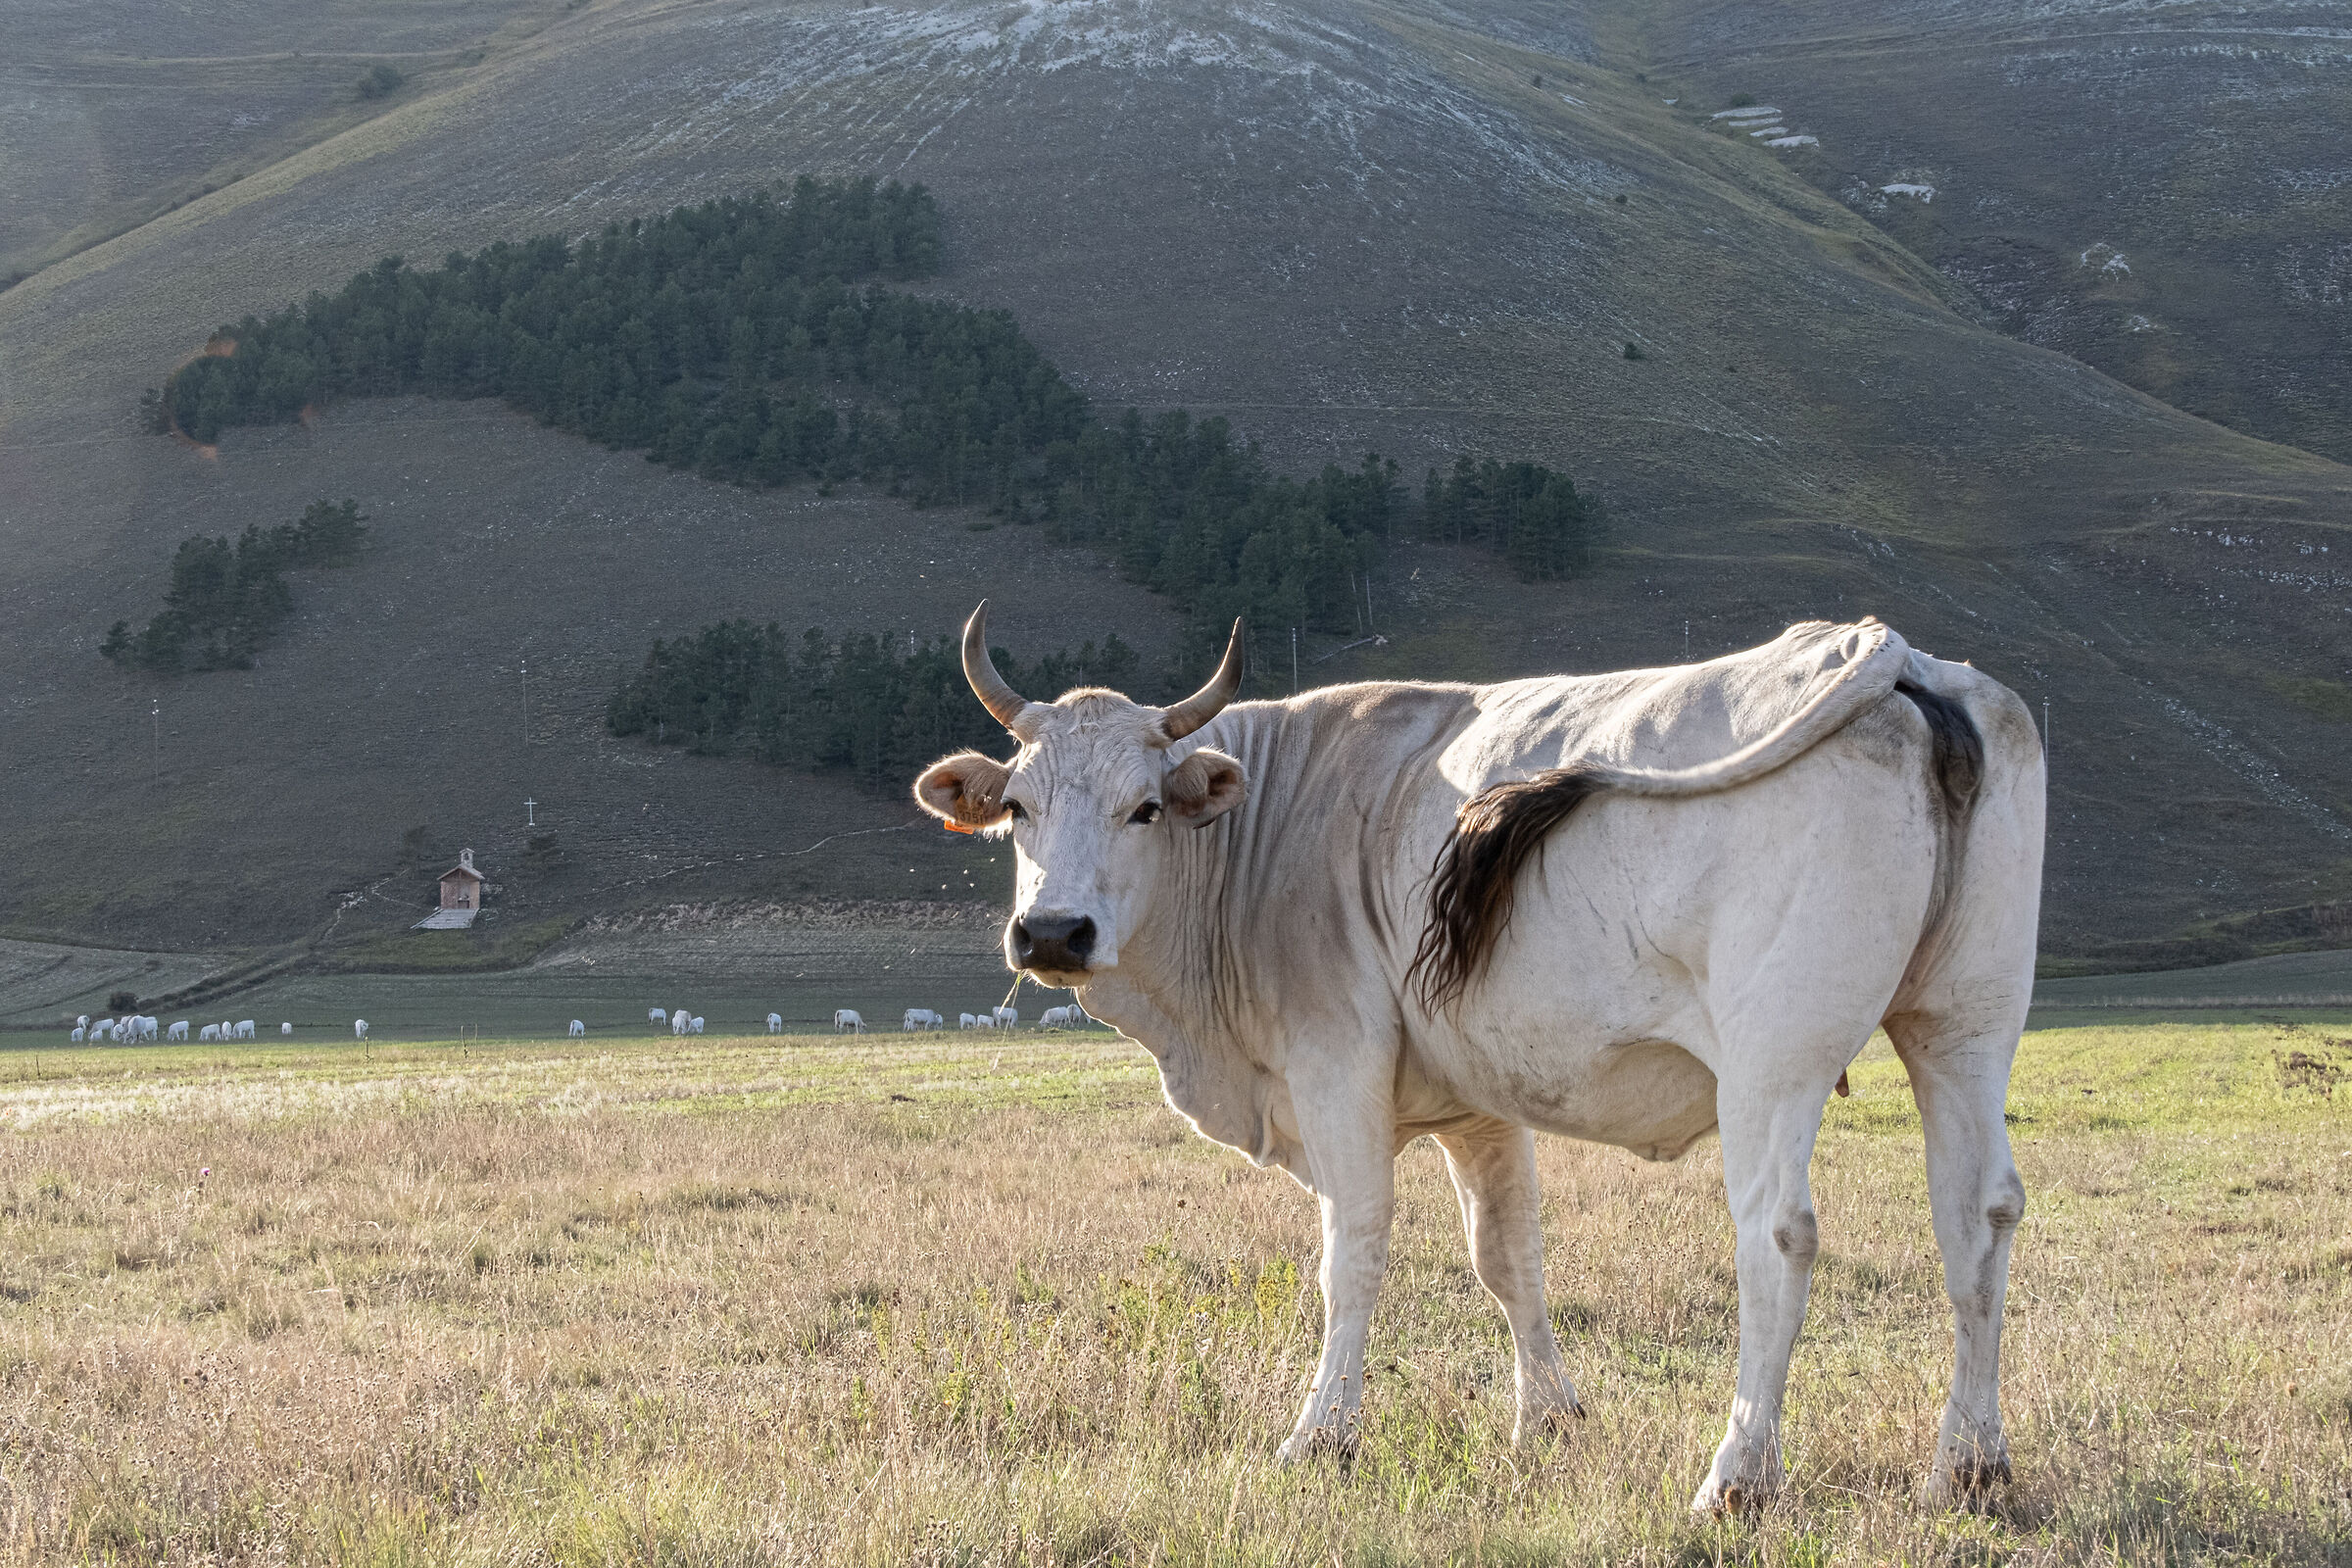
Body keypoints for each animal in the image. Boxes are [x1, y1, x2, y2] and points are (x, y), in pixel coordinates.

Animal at [910, 602, 2043, 1512]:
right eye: (1017, 806)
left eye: (1143, 806)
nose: (1053, 933)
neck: (1271, 823)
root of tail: (1894, 656)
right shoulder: (1478, 1103)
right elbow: (1509, 1258)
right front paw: (1548, 1420)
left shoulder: (1336, 1070)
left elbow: (1352, 1255)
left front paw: (1322, 1435)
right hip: (1964, 1027)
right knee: (1976, 1217)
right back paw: (1969, 1466)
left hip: (1776, 1064)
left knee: (1780, 1235)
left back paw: (1736, 1478)